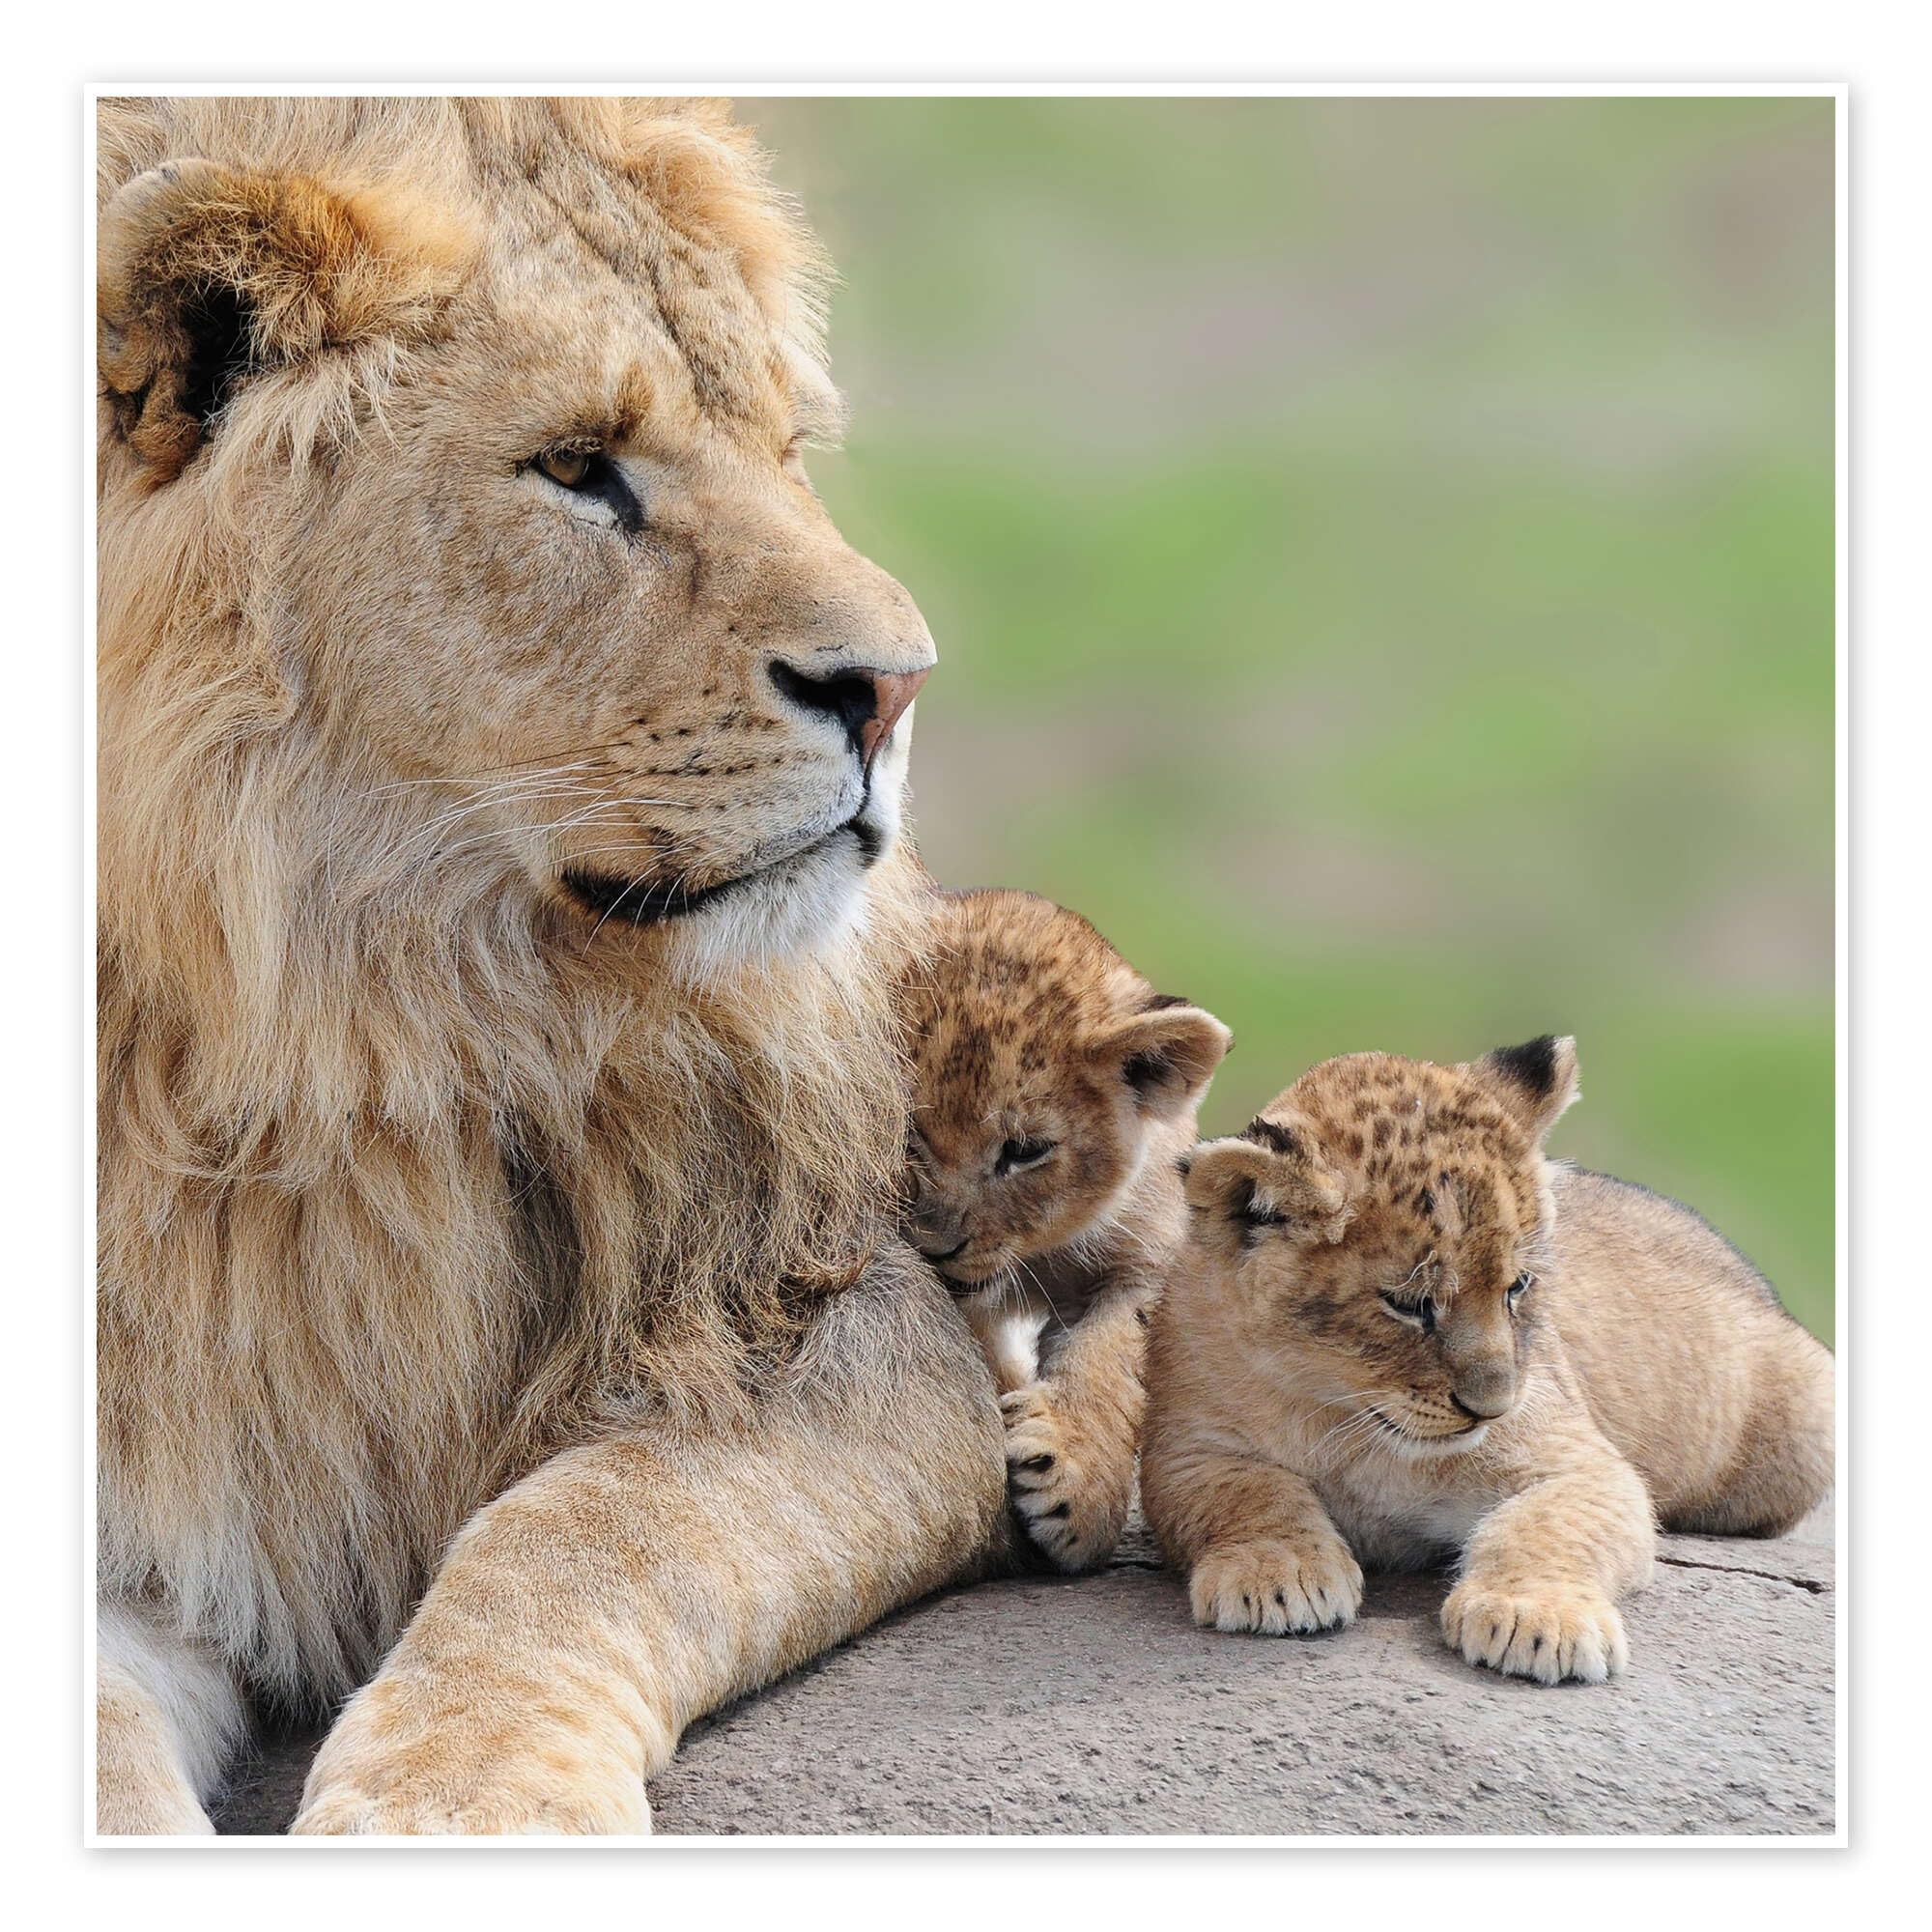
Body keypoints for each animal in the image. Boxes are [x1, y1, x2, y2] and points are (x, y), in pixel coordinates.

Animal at [95, 95, 1012, 1834]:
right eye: (579, 469)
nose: (898, 690)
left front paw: (464, 1808)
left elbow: (587, 1527)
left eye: (786, 450)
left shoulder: (844, 1322)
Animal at [1141, 1037, 1833, 1685]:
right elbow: (1251, 1493)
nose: (1492, 1408)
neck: (1348, 1416)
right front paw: (1278, 1573)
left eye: (1517, 1285)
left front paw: (1538, 1618)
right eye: (1409, 1304)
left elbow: (1549, 1523)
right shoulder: (1184, 1451)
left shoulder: (1582, 1461)